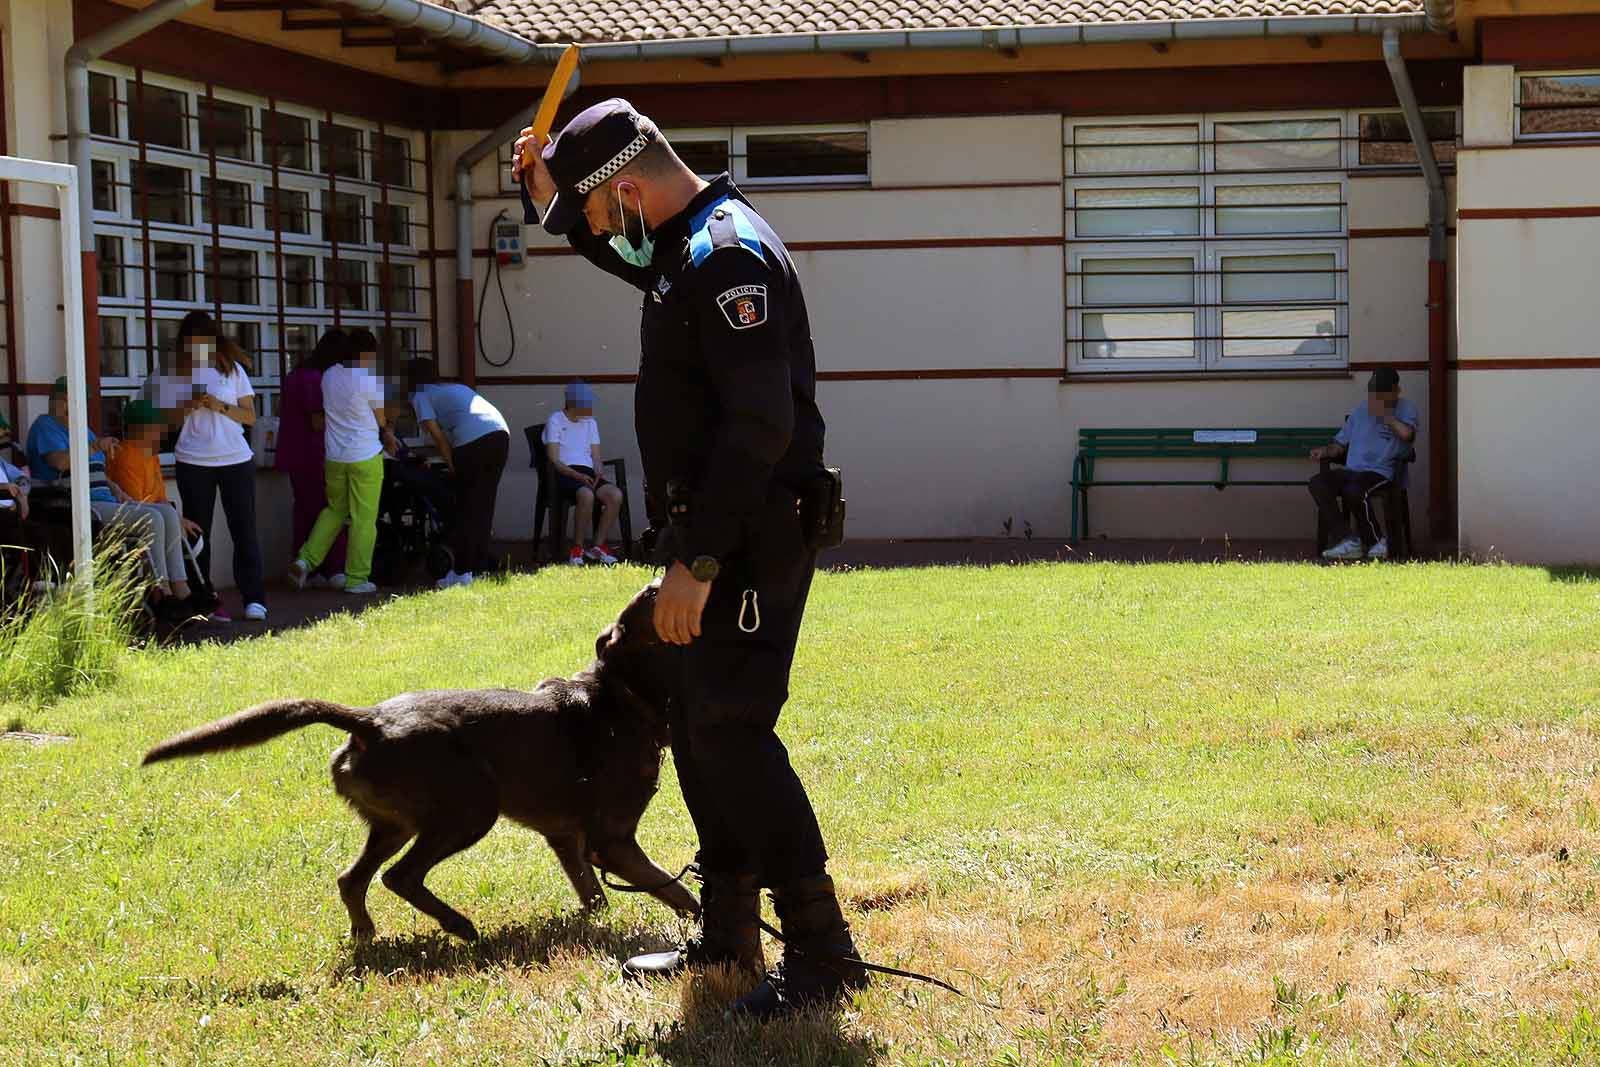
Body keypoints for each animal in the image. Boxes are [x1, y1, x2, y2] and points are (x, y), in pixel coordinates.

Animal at [145, 585, 700, 940]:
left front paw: (598, 923)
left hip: (393, 823)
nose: (659, 581)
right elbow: (674, 889)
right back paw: (459, 927)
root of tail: (368, 721)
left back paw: (366, 934)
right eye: (645, 605)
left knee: (353, 879)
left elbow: (592, 893)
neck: (622, 698)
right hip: (469, 811)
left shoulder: (565, 837)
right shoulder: (612, 840)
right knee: (399, 877)